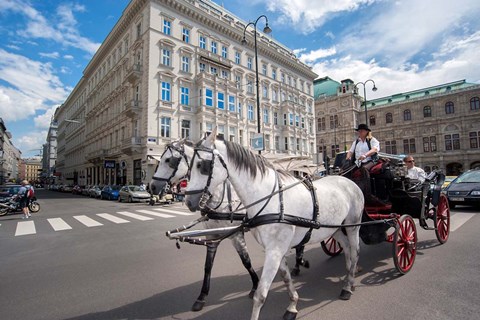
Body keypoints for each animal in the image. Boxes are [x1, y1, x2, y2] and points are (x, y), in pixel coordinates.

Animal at [149, 139, 258, 312]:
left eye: (168, 160)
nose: (151, 187)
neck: (220, 197)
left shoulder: (236, 234)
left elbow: (246, 260)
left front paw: (255, 286)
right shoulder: (211, 234)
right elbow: (207, 266)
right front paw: (202, 296)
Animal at [185, 131, 364, 320]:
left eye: (202, 165)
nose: (188, 201)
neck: (270, 199)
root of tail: (347, 180)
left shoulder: (274, 250)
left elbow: (260, 295)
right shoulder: (277, 250)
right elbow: (285, 278)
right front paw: (292, 305)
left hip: (353, 225)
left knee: (355, 250)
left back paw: (348, 285)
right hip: (333, 228)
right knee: (346, 247)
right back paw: (349, 276)